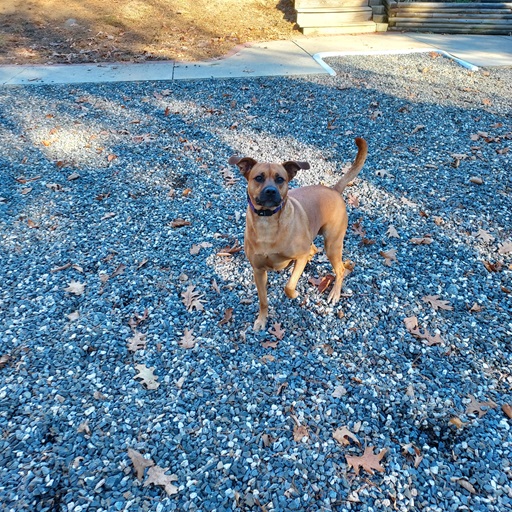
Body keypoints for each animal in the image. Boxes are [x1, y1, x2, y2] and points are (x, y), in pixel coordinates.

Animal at [229, 138, 368, 330]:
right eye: (258, 178)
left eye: (280, 179)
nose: (271, 191)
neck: (268, 222)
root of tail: (333, 190)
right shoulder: (258, 271)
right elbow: (263, 300)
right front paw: (262, 319)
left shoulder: (299, 256)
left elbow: (288, 286)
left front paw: (294, 294)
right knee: (314, 250)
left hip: (332, 244)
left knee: (340, 269)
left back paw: (335, 293)